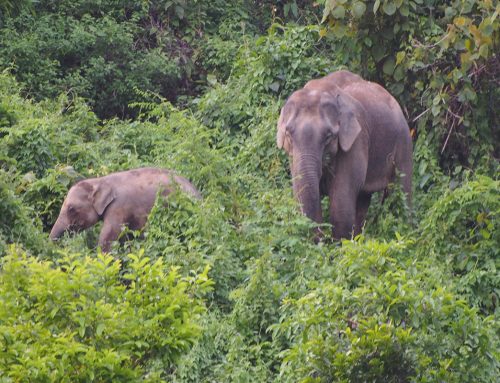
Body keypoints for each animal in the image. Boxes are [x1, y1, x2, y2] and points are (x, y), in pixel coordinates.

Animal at [276, 70, 412, 240]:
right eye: (288, 134)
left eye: (328, 136)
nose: (322, 239)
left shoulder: (356, 141)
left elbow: (341, 201)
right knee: (363, 200)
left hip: (403, 141)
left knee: (401, 193)